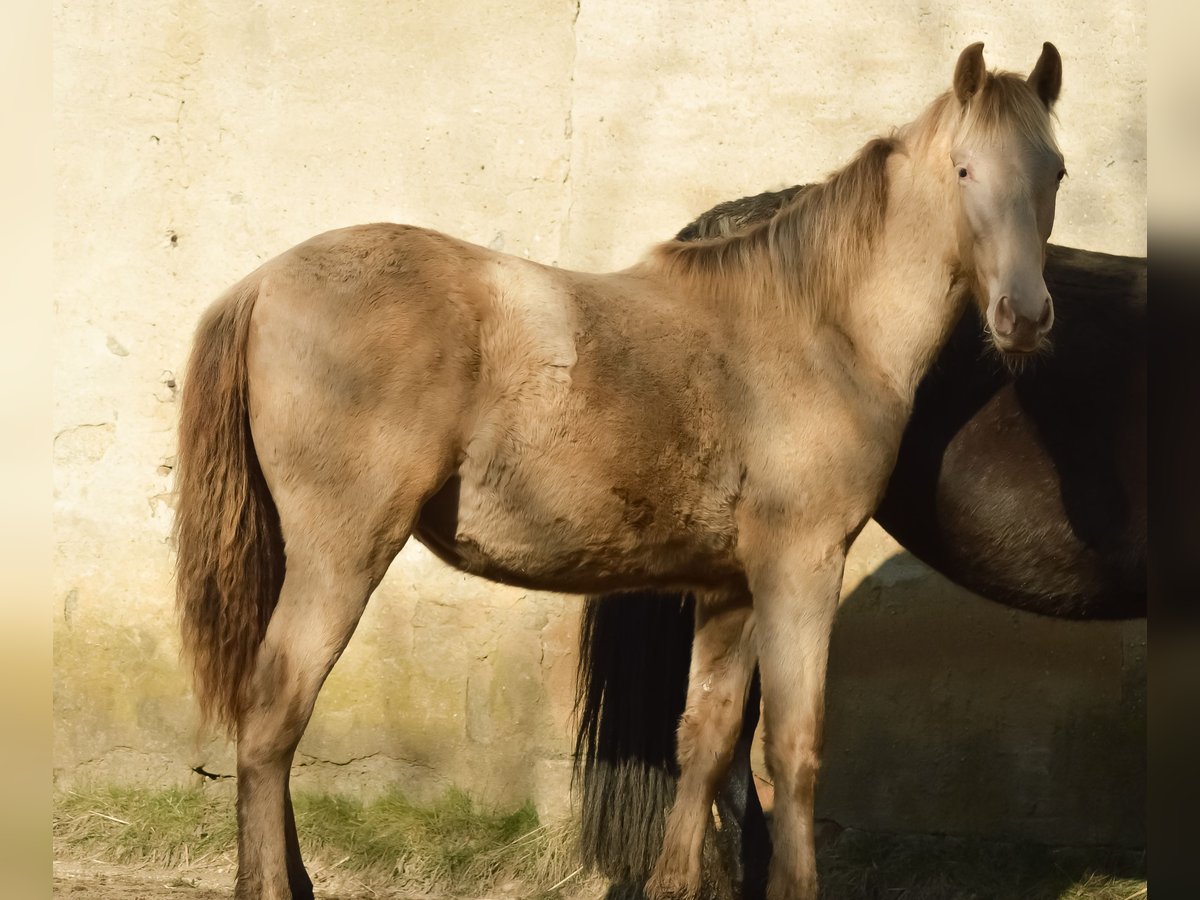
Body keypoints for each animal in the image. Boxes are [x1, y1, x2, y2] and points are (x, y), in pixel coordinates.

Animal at [175, 42, 1070, 900]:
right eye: (964, 169)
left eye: (1054, 171)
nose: (1024, 317)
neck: (820, 326)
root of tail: (262, 284)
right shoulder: (801, 566)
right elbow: (792, 747)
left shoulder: (731, 586)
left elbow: (706, 737)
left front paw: (674, 882)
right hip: (341, 556)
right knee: (275, 719)